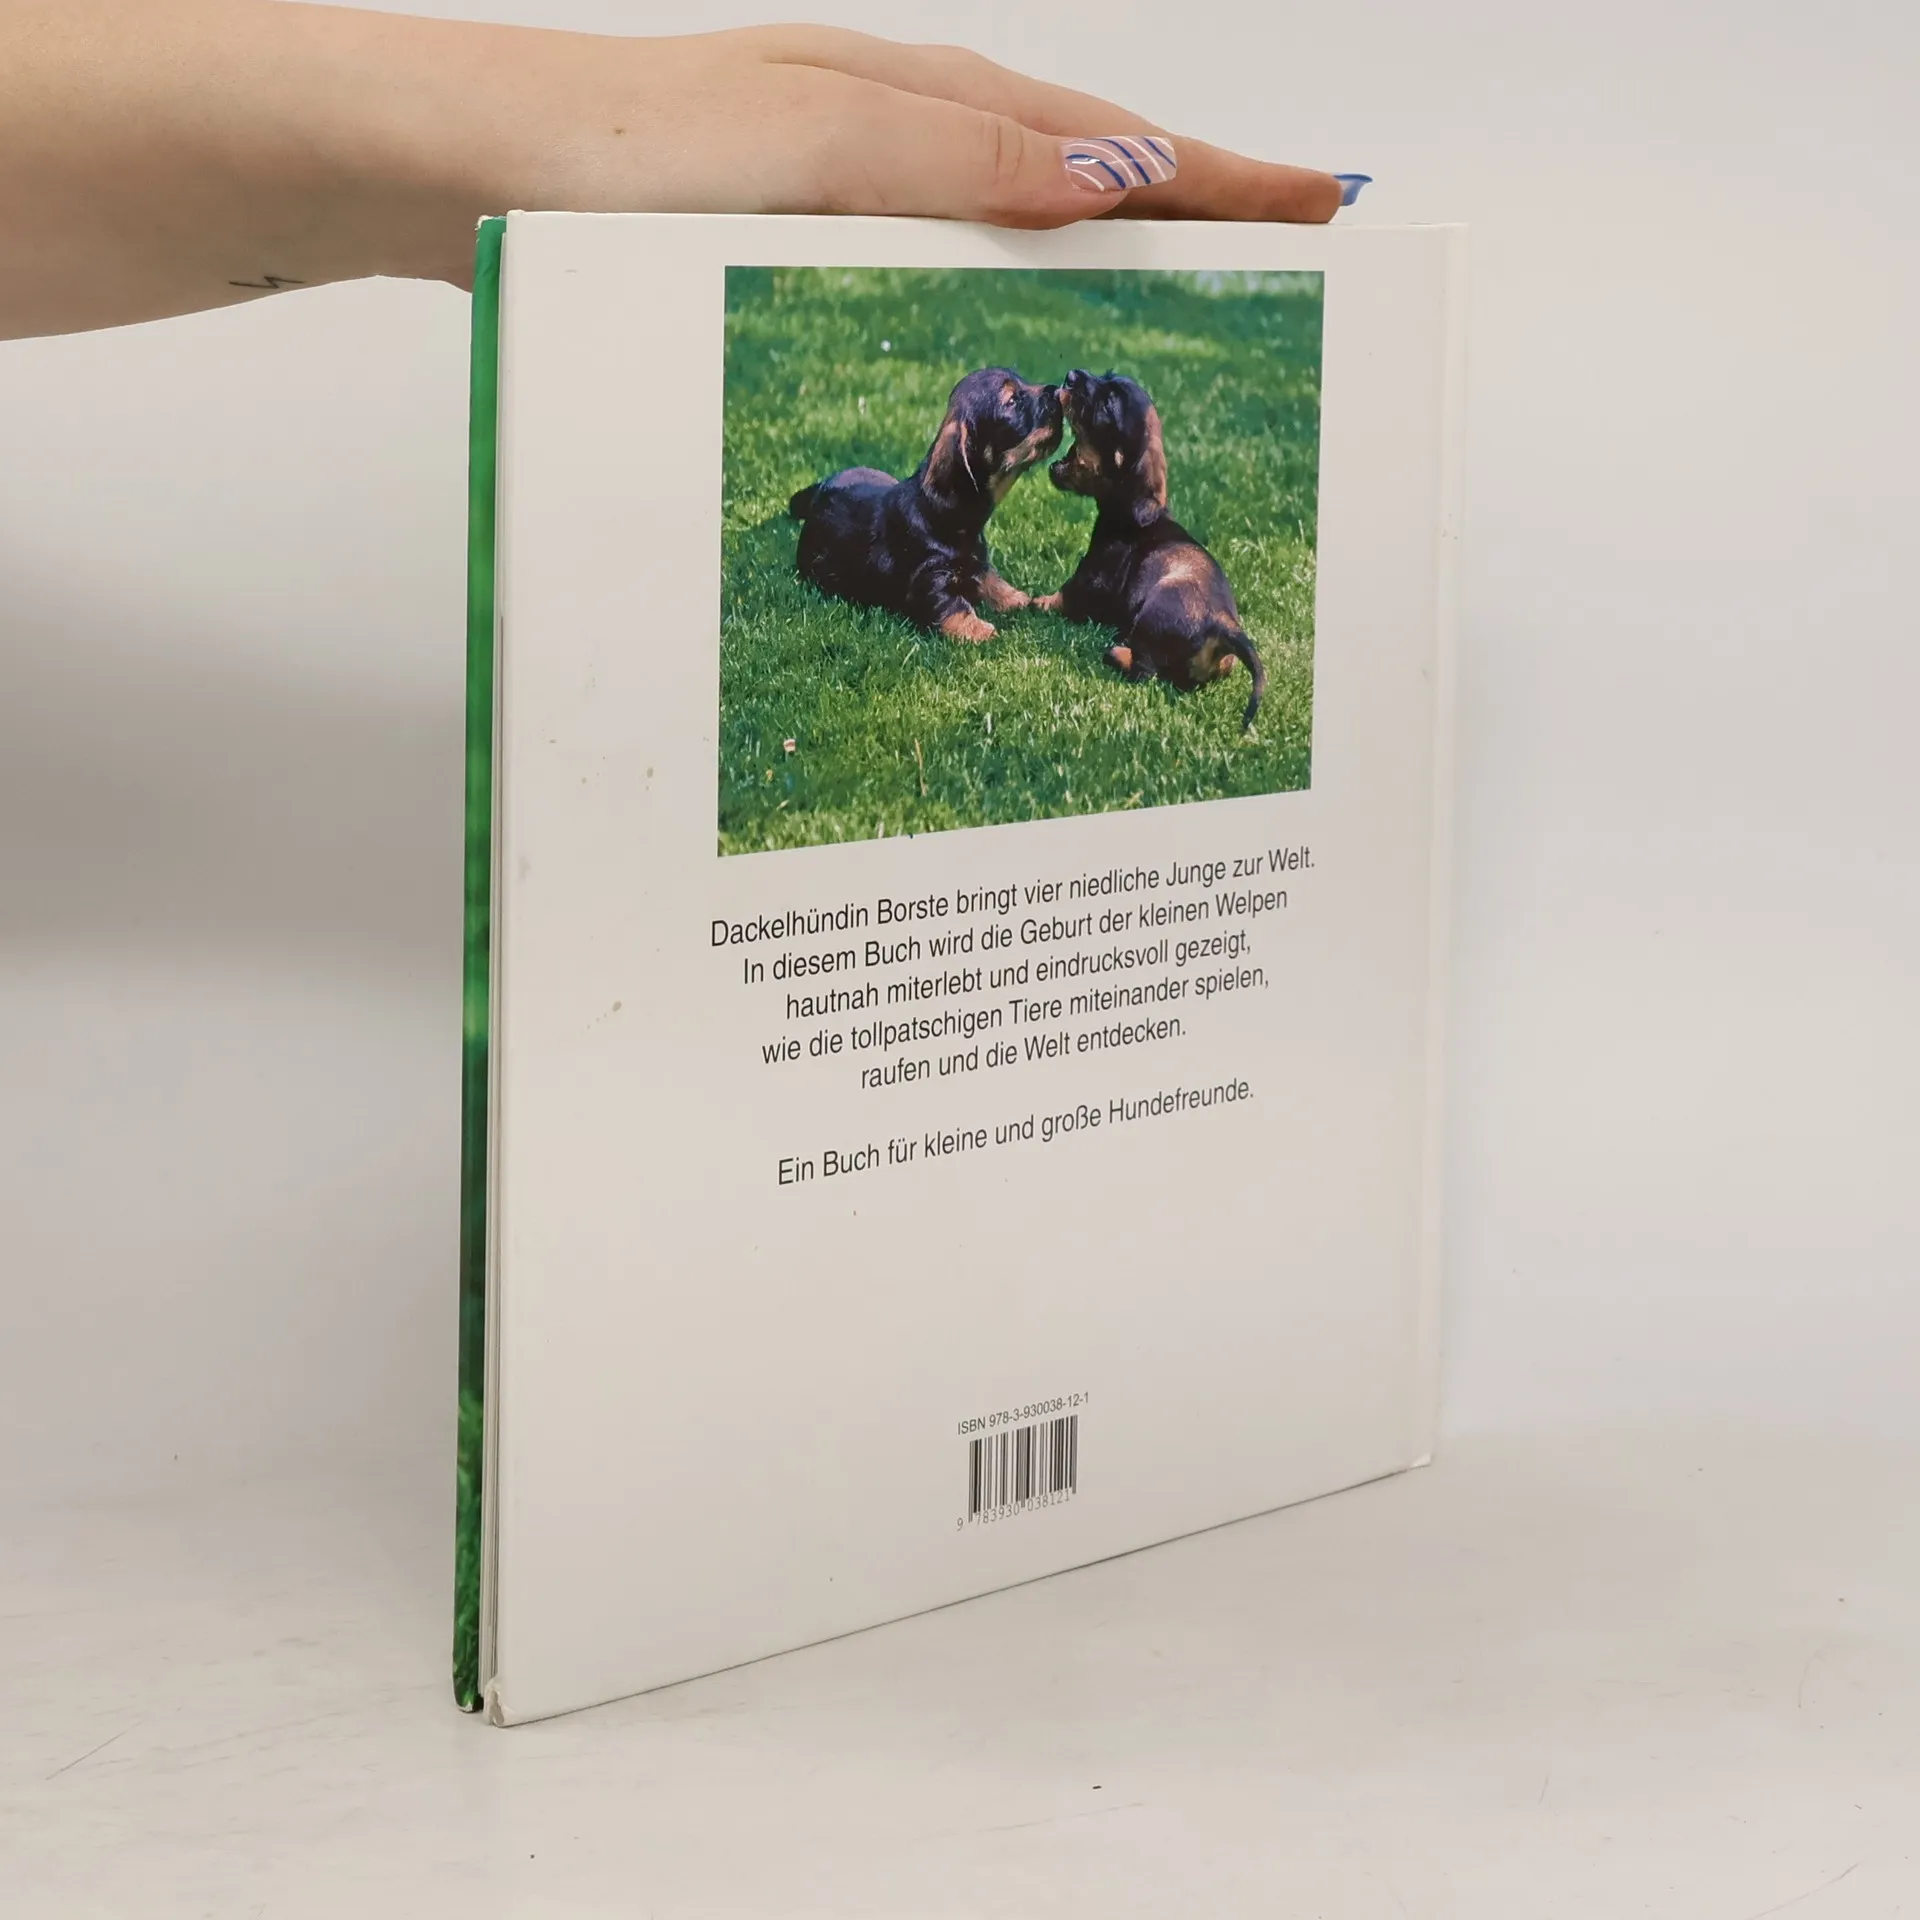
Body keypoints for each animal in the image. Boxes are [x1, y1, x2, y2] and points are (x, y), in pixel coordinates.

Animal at [788, 369, 1063, 642]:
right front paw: (978, 630)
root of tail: (820, 487)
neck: (947, 514)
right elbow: (954, 605)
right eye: (1012, 400)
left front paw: (1015, 598)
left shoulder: (977, 561)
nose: (1056, 390)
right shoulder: (929, 580)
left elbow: (989, 577)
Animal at [1037, 369, 1266, 729]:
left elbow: (1051, 599)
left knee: (1144, 672)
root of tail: (1222, 625)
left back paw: (1116, 650)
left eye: (1109, 404)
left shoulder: (1085, 585)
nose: (1071, 375)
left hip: (1153, 612)